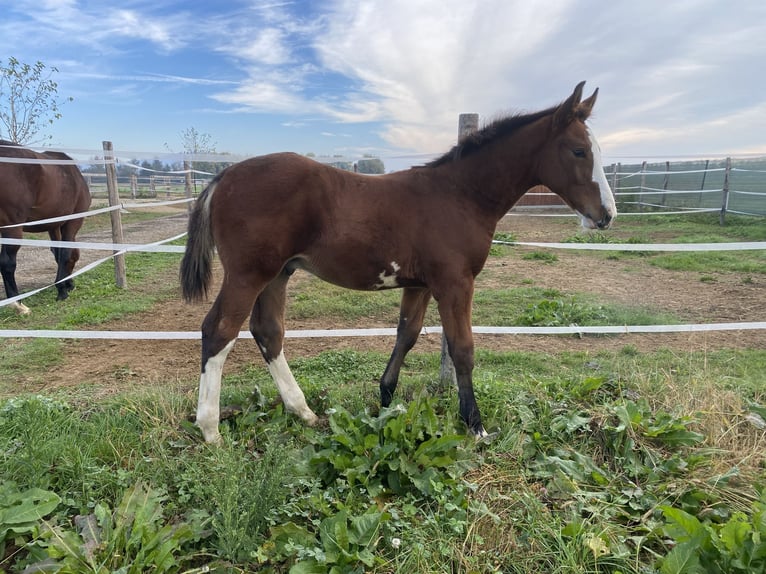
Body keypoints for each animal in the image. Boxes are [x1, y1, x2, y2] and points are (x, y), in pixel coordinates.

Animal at [0, 140, 92, 314]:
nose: (71, 285)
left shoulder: (53, 226)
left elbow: (57, 253)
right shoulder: (72, 222)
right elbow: (65, 253)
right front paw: (62, 290)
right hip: (12, 229)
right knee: (7, 263)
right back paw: (18, 305)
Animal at [180, 81, 616, 444]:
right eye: (579, 150)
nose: (607, 215)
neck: (461, 194)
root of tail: (223, 177)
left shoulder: (420, 284)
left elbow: (406, 334)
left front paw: (386, 401)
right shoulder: (455, 283)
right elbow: (462, 348)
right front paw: (475, 426)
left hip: (278, 274)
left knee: (268, 332)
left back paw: (303, 412)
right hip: (248, 274)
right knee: (219, 331)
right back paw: (211, 430)